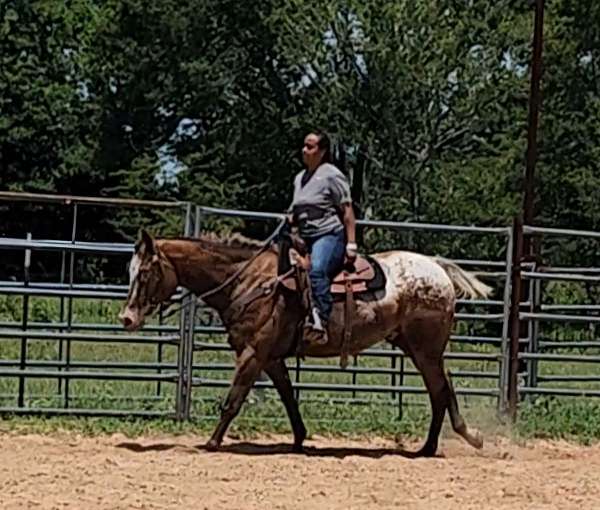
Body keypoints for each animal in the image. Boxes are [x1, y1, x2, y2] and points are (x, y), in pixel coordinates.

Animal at [118, 229, 492, 456]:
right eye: (129, 272)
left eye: (145, 273)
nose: (126, 318)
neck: (250, 281)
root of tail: (437, 268)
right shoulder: (270, 358)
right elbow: (288, 398)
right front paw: (299, 439)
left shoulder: (253, 353)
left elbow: (232, 400)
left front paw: (211, 442)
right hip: (417, 348)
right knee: (441, 390)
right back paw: (437, 444)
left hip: (426, 349)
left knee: (440, 390)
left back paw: (446, 443)